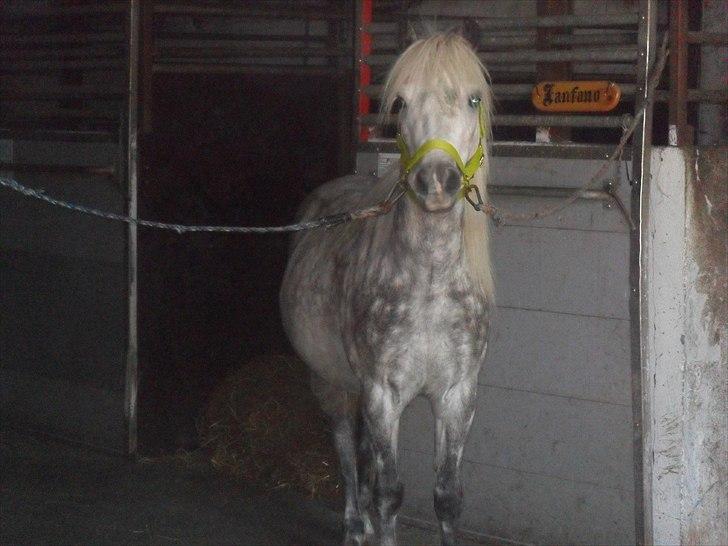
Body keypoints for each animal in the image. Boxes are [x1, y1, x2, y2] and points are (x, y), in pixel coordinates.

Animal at [280, 33, 494, 546]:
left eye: (473, 99)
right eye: (402, 102)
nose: (436, 181)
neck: (430, 282)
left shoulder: (457, 394)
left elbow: (447, 496)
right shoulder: (382, 394)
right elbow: (389, 493)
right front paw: (375, 523)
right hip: (332, 384)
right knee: (345, 452)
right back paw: (356, 526)